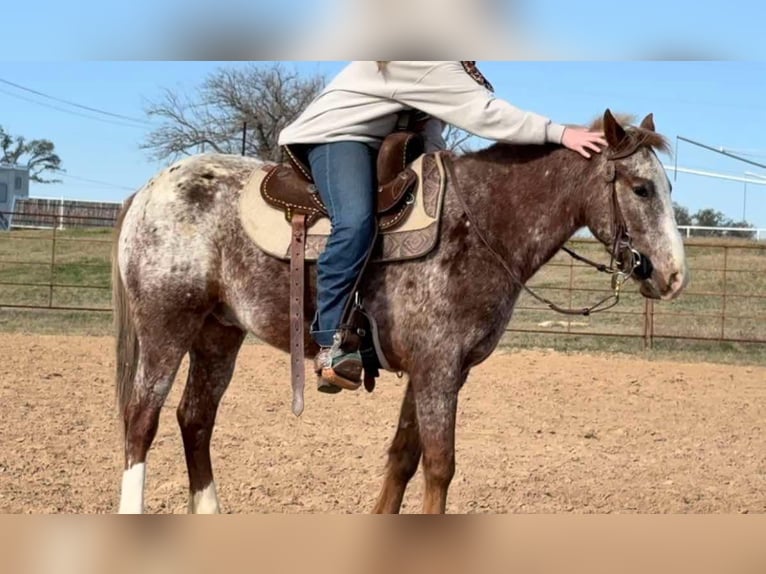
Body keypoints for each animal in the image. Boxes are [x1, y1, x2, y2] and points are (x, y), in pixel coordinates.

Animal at [112, 110, 688, 516]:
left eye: (668, 186)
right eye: (641, 188)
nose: (673, 275)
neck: (478, 226)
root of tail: (151, 190)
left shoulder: (439, 372)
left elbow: (403, 459)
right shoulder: (437, 369)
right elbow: (439, 466)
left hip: (218, 333)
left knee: (196, 419)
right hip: (167, 326)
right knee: (142, 420)